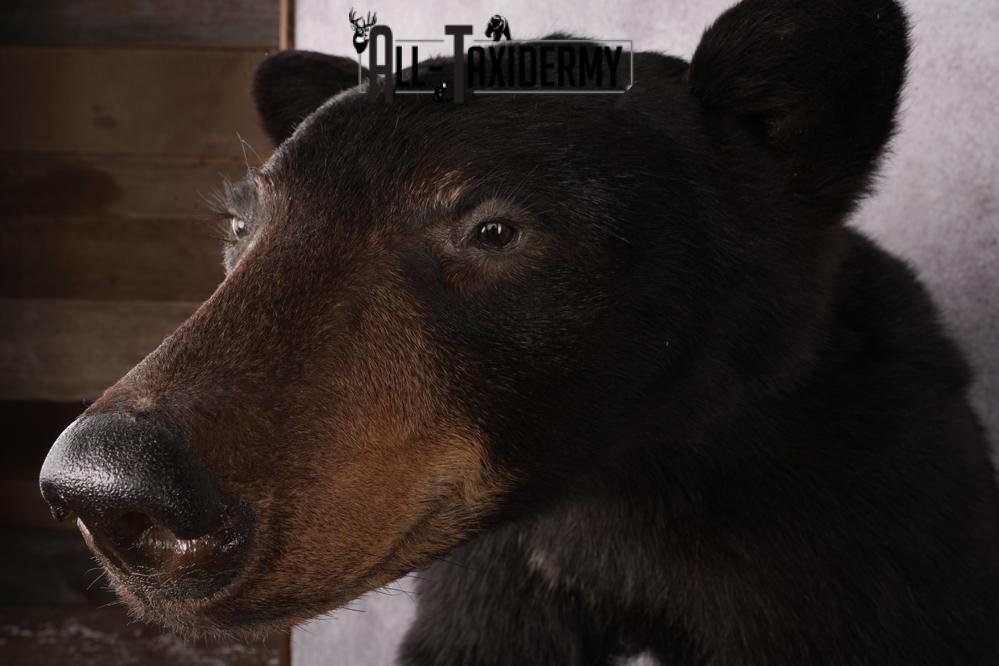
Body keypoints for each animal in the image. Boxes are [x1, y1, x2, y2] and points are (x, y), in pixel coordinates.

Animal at [38, 0, 999, 664]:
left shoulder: (858, 550)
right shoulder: (499, 589)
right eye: (242, 225)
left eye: (493, 228)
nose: (110, 488)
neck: (619, 492)